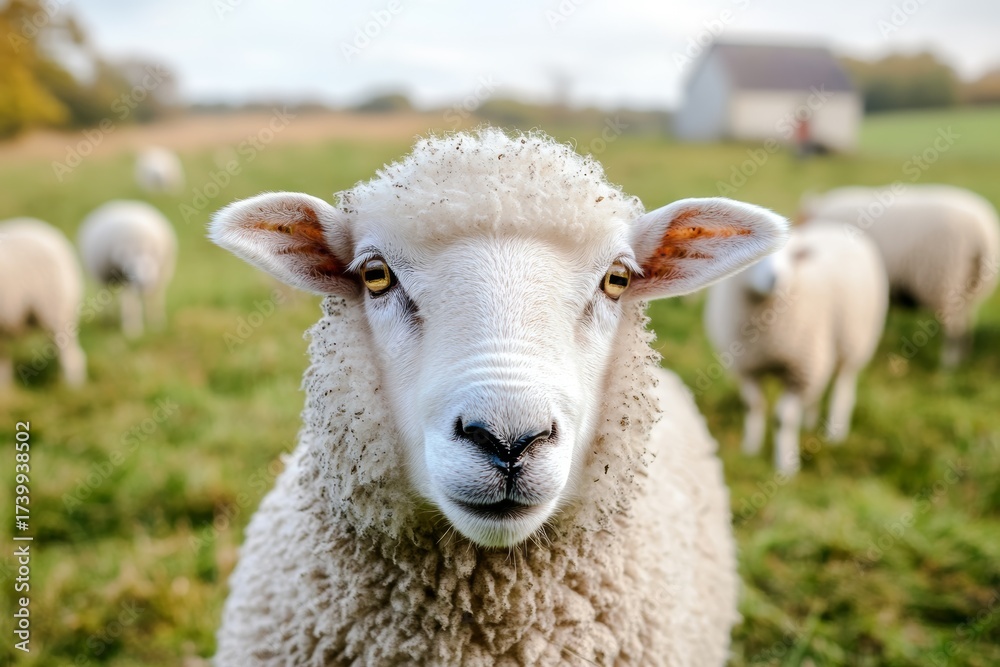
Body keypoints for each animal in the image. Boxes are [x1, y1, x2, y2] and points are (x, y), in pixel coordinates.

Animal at [78, 200, 177, 338]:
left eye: (150, 266)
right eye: (131, 267)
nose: (143, 284)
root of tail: (121, 202)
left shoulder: (158, 278)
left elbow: (153, 300)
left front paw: (155, 324)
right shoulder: (123, 277)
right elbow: (129, 304)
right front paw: (133, 330)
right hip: (103, 278)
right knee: (108, 300)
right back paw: (109, 320)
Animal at [704, 222, 888, 475]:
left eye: (792, 257)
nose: (776, 279)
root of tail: (833, 226)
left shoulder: (800, 370)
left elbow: (784, 419)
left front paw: (786, 465)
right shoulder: (747, 366)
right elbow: (753, 406)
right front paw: (750, 449)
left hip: (854, 340)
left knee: (843, 387)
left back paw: (836, 432)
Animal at [801, 184, 1000, 367]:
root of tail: (982, 233)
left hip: (948, 282)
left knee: (954, 327)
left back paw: (948, 365)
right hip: (971, 287)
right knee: (967, 322)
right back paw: (963, 358)